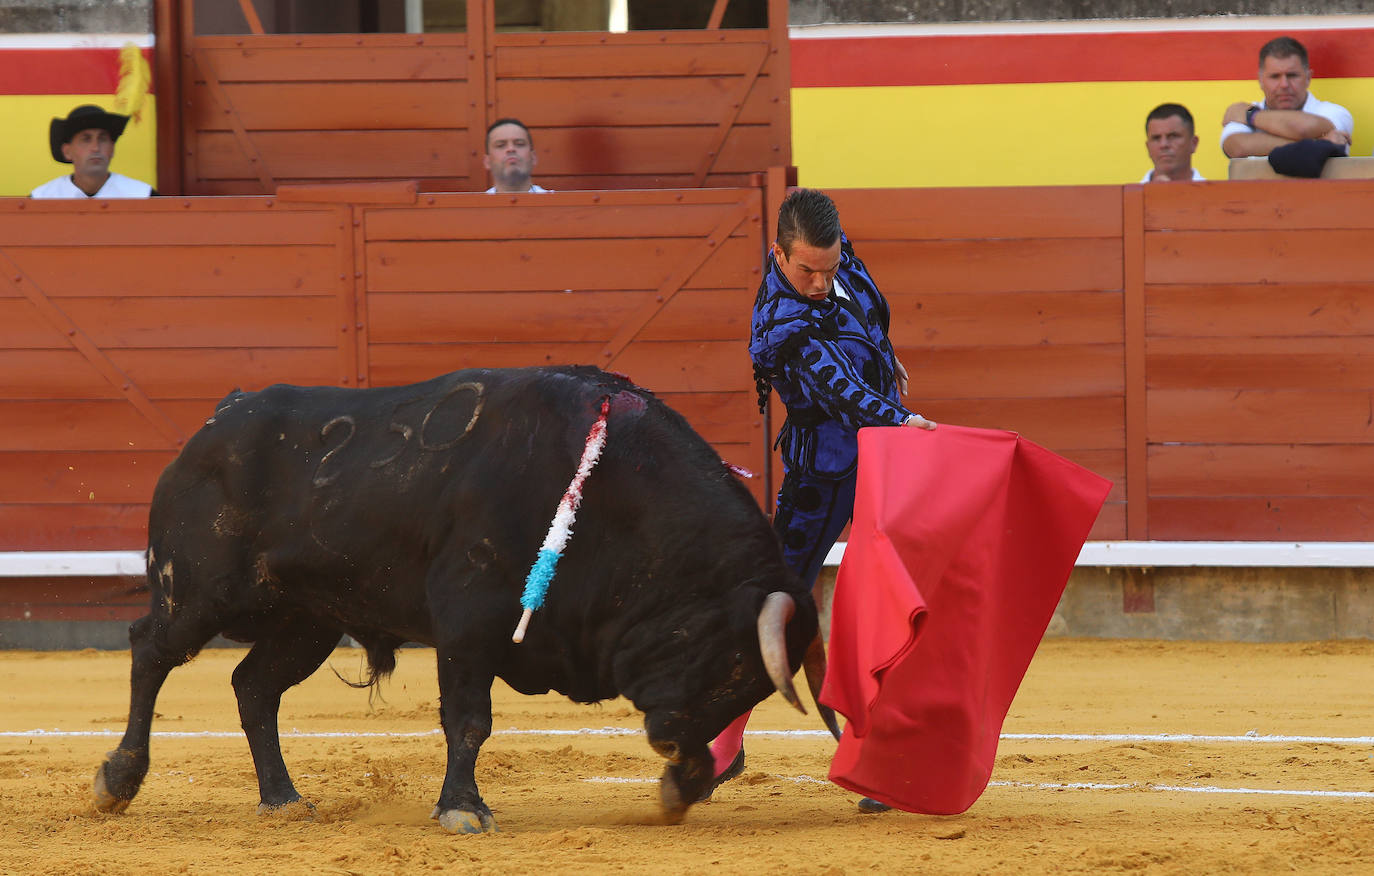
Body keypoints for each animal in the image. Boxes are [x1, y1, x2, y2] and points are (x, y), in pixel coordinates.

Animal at [99, 367, 824, 834]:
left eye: (752, 686)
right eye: (728, 661)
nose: (667, 739)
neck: (613, 498)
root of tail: (220, 416)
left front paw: (681, 789)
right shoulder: (469, 618)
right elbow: (470, 719)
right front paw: (463, 810)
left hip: (309, 620)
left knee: (253, 686)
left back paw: (282, 799)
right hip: (199, 591)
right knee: (150, 653)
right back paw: (117, 781)